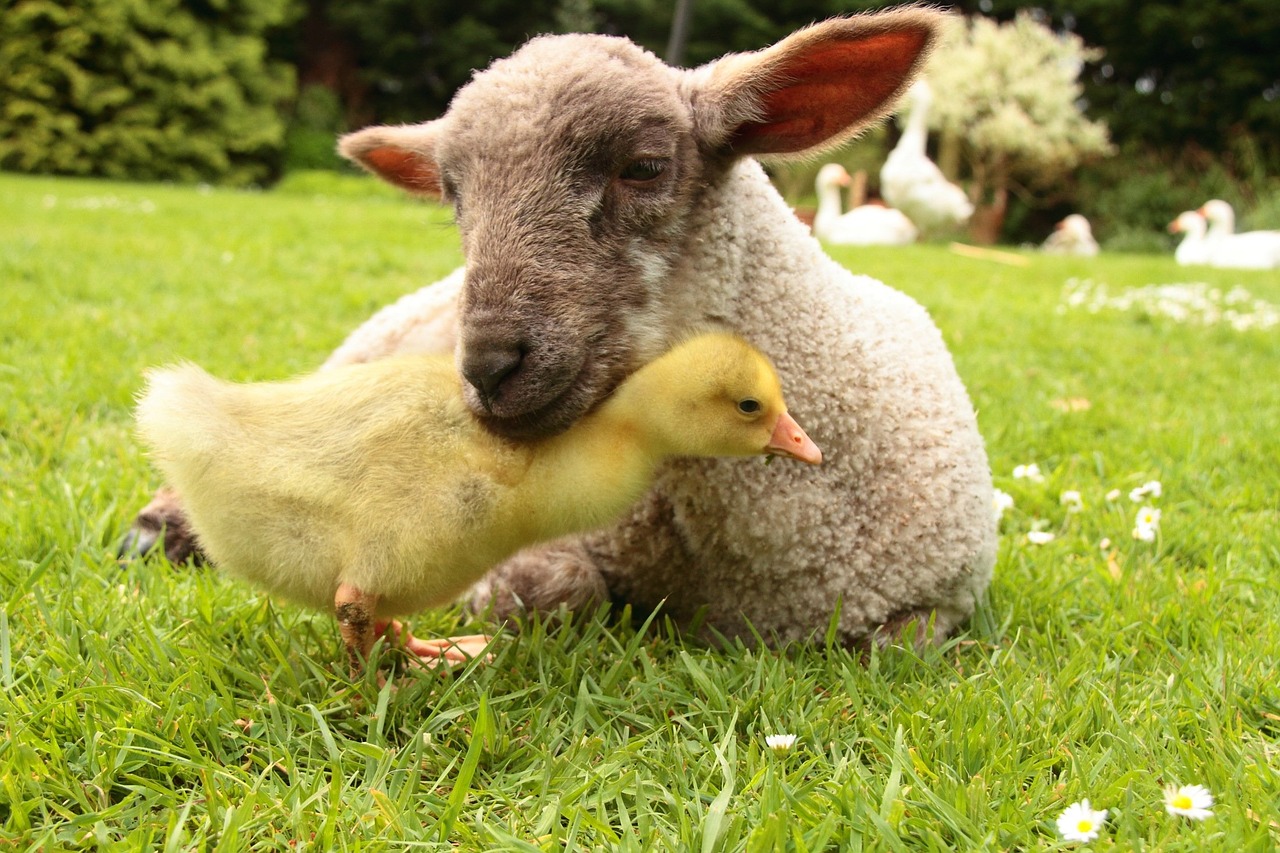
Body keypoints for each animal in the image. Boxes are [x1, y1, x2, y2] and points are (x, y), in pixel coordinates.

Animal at [122, 4, 998, 645]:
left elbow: (897, 639)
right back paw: (160, 526)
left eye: (644, 166)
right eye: (454, 194)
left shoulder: (935, 607)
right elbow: (550, 586)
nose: (487, 366)